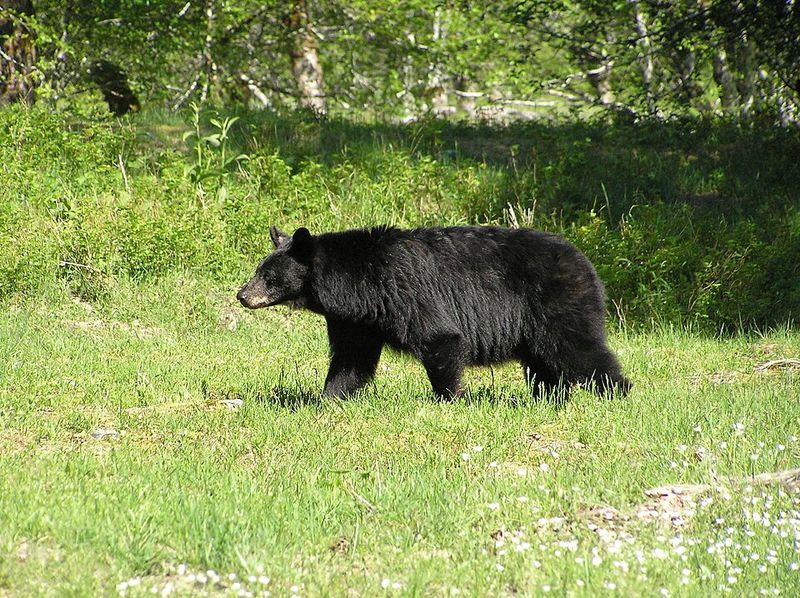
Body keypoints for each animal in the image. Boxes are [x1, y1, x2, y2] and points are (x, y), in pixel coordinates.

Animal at [237, 225, 630, 400]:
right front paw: (329, 397)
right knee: (543, 362)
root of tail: (585, 262)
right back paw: (549, 397)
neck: (358, 280)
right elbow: (352, 358)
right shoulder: (356, 319)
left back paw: (616, 392)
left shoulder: (402, 291)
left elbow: (440, 338)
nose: (242, 295)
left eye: (268, 276)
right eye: (258, 269)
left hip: (556, 303)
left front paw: (448, 399)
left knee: (578, 349)